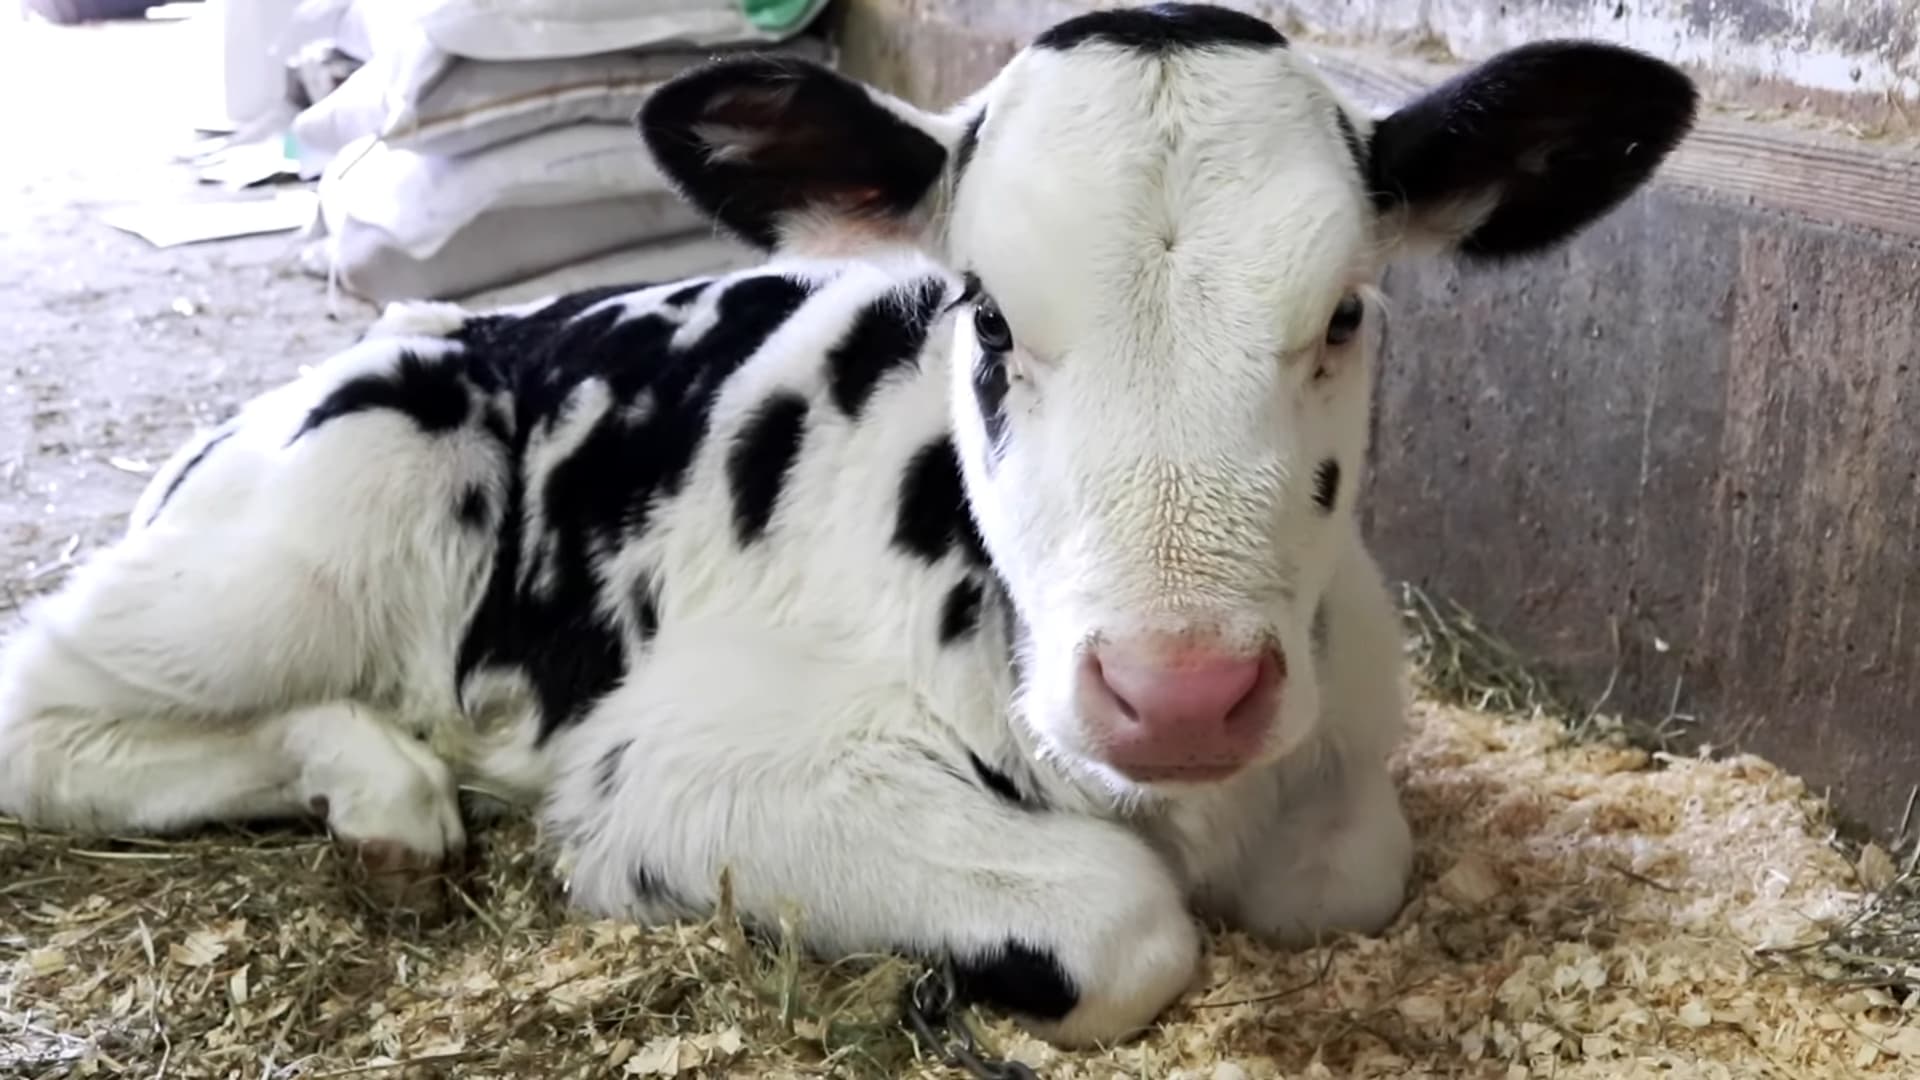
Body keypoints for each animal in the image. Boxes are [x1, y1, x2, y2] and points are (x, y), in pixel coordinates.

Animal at [0, 3, 1696, 1047]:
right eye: (988, 316)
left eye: (1344, 313)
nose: (1179, 693)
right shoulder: (679, 768)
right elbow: (1120, 923)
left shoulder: (1339, 775)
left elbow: (1345, 872)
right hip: (332, 512)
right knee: (45, 702)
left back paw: (388, 798)